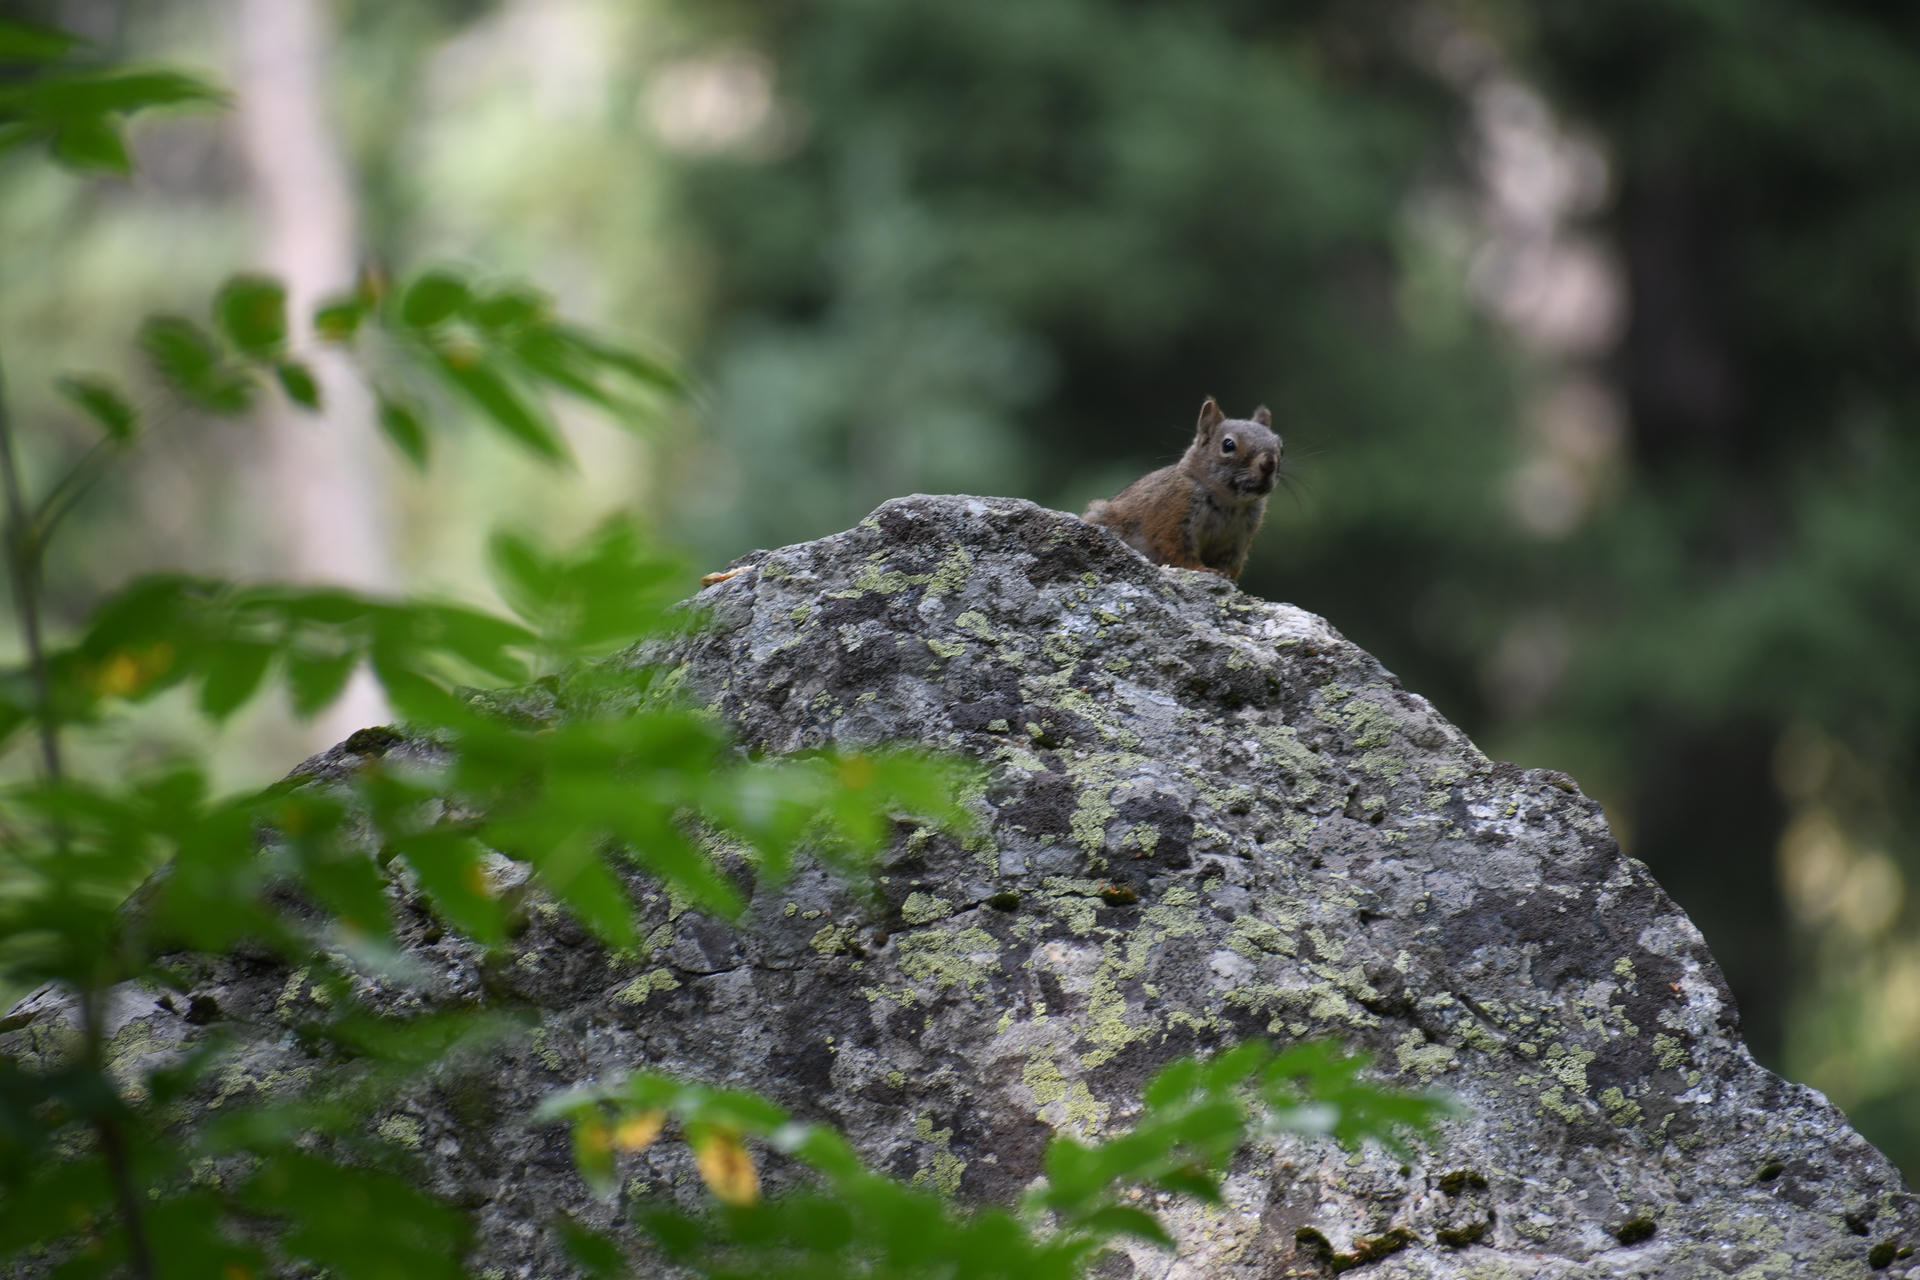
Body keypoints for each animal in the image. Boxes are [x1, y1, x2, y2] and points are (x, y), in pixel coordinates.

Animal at [1083, 397, 1282, 581]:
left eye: (1281, 447)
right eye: (1228, 445)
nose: (1269, 463)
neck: (1227, 501)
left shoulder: (1238, 540)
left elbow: (1229, 563)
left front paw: (1226, 577)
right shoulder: (1172, 510)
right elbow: (1177, 550)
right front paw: (1203, 569)